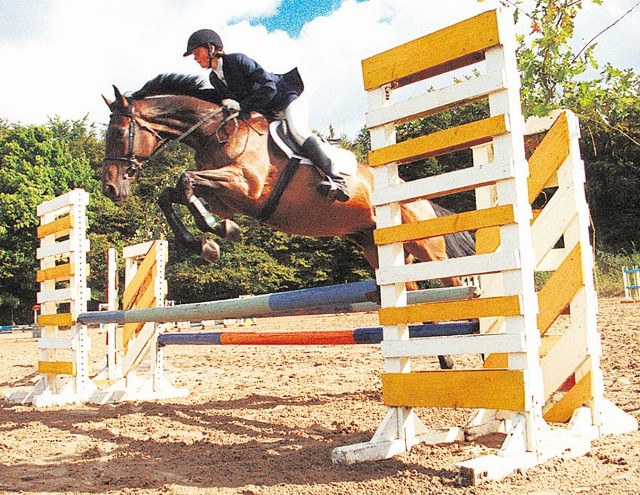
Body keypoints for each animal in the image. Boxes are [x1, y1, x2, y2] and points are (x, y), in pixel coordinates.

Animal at [104, 71, 476, 284]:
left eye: (120, 133)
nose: (109, 188)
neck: (215, 132)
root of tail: (421, 198)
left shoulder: (246, 186)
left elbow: (184, 181)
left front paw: (220, 232)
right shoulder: (225, 198)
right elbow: (171, 194)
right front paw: (208, 242)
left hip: (428, 249)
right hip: (378, 248)